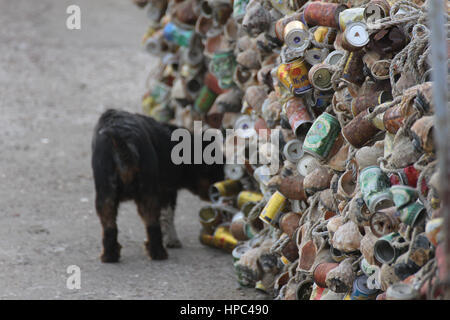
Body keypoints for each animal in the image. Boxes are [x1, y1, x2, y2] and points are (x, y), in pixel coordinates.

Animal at [91, 110, 223, 262]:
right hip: (146, 193)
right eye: (217, 171)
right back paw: (158, 253)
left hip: (107, 194)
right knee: (152, 224)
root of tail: (124, 140)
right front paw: (172, 240)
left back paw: (110, 255)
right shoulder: (167, 190)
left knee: (110, 226)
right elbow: (167, 216)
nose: (219, 190)